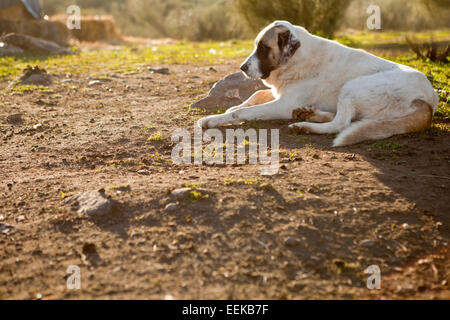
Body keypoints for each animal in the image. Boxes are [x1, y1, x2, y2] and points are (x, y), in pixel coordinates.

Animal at [198, 21, 440, 148]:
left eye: (264, 48)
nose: (242, 68)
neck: (297, 59)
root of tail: (427, 101)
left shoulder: (282, 105)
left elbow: (242, 113)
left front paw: (213, 119)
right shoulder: (280, 95)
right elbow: (254, 96)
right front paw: (234, 106)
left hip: (352, 87)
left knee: (341, 124)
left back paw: (305, 125)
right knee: (343, 118)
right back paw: (308, 114)